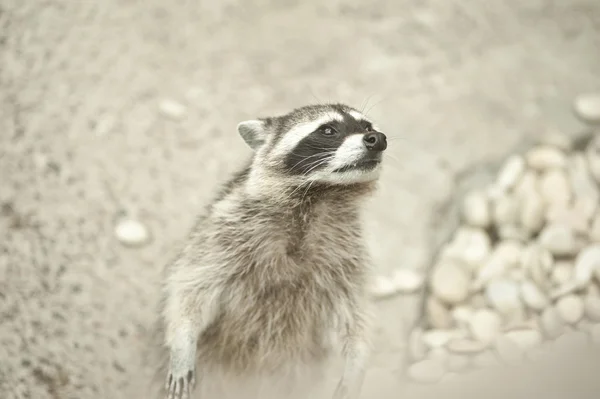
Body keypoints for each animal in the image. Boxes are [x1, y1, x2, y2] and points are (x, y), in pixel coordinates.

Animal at [156, 104, 390, 399]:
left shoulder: (348, 251)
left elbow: (354, 314)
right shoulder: (225, 230)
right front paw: (182, 343)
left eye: (367, 126)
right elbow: (191, 287)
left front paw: (357, 361)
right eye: (328, 130)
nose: (378, 139)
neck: (323, 194)